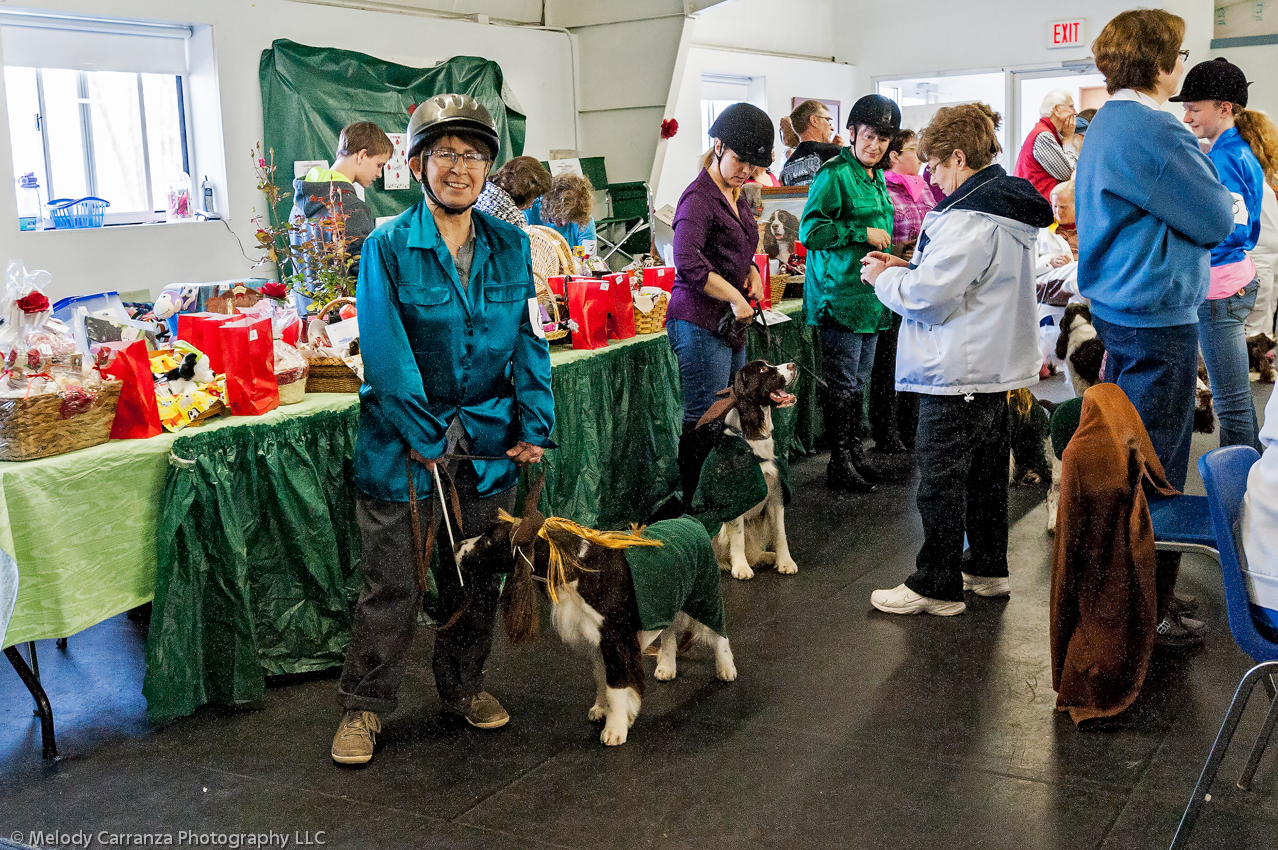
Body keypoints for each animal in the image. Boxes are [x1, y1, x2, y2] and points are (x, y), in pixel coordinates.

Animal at [454, 511, 736, 741]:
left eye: (488, 540)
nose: (456, 545)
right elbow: (601, 676)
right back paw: (666, 666)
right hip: (668, 597)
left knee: (719, 633)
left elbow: (616, 683)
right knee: (668, 631)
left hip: (704, 592)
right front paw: (602, 709)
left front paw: (615, 729)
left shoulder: (616, 638)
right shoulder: (596, 637)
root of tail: (692, 520)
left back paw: (726, 669)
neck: (575, 569)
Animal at [700, 357, 797, 582]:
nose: (793, 365)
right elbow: (737, 536)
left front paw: (785, 562)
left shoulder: (775, 491)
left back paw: (766, 556)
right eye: (762, 370)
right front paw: (740, 567)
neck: (753, 437)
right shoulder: (736, 496)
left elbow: (780, 532)